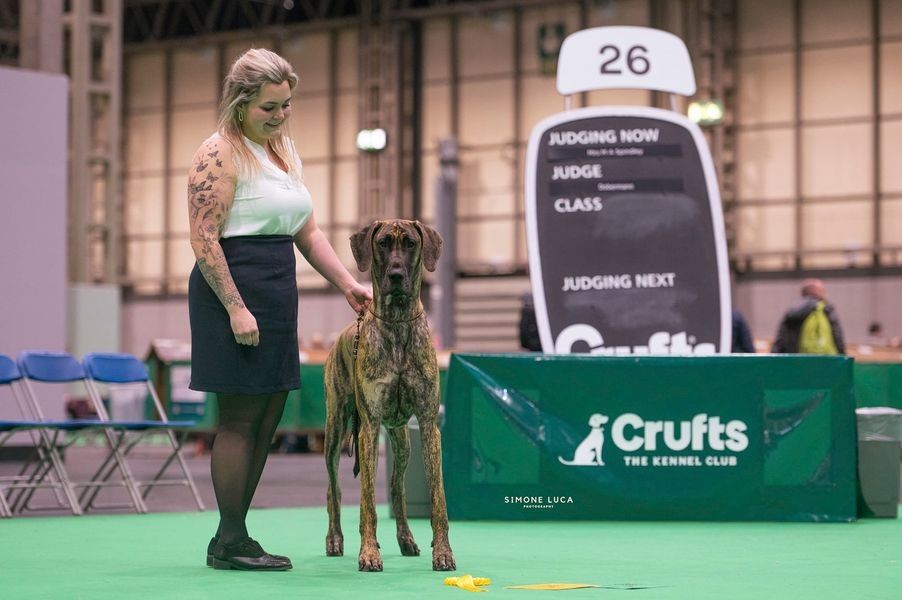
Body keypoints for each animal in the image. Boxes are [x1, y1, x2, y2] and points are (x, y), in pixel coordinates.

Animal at [323, 219, 455, 573]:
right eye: (382, 243)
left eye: (410, 243)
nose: (396, 274)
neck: (396, 320)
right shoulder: (368, 427)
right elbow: (367, 501)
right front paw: (369, 553)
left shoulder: (428, 425)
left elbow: (438, 498)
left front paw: (443, 552)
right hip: (334, 430)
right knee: (333, 490)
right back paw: (335, 539)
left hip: (402, 439)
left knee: (397, 488)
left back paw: (406, 539)